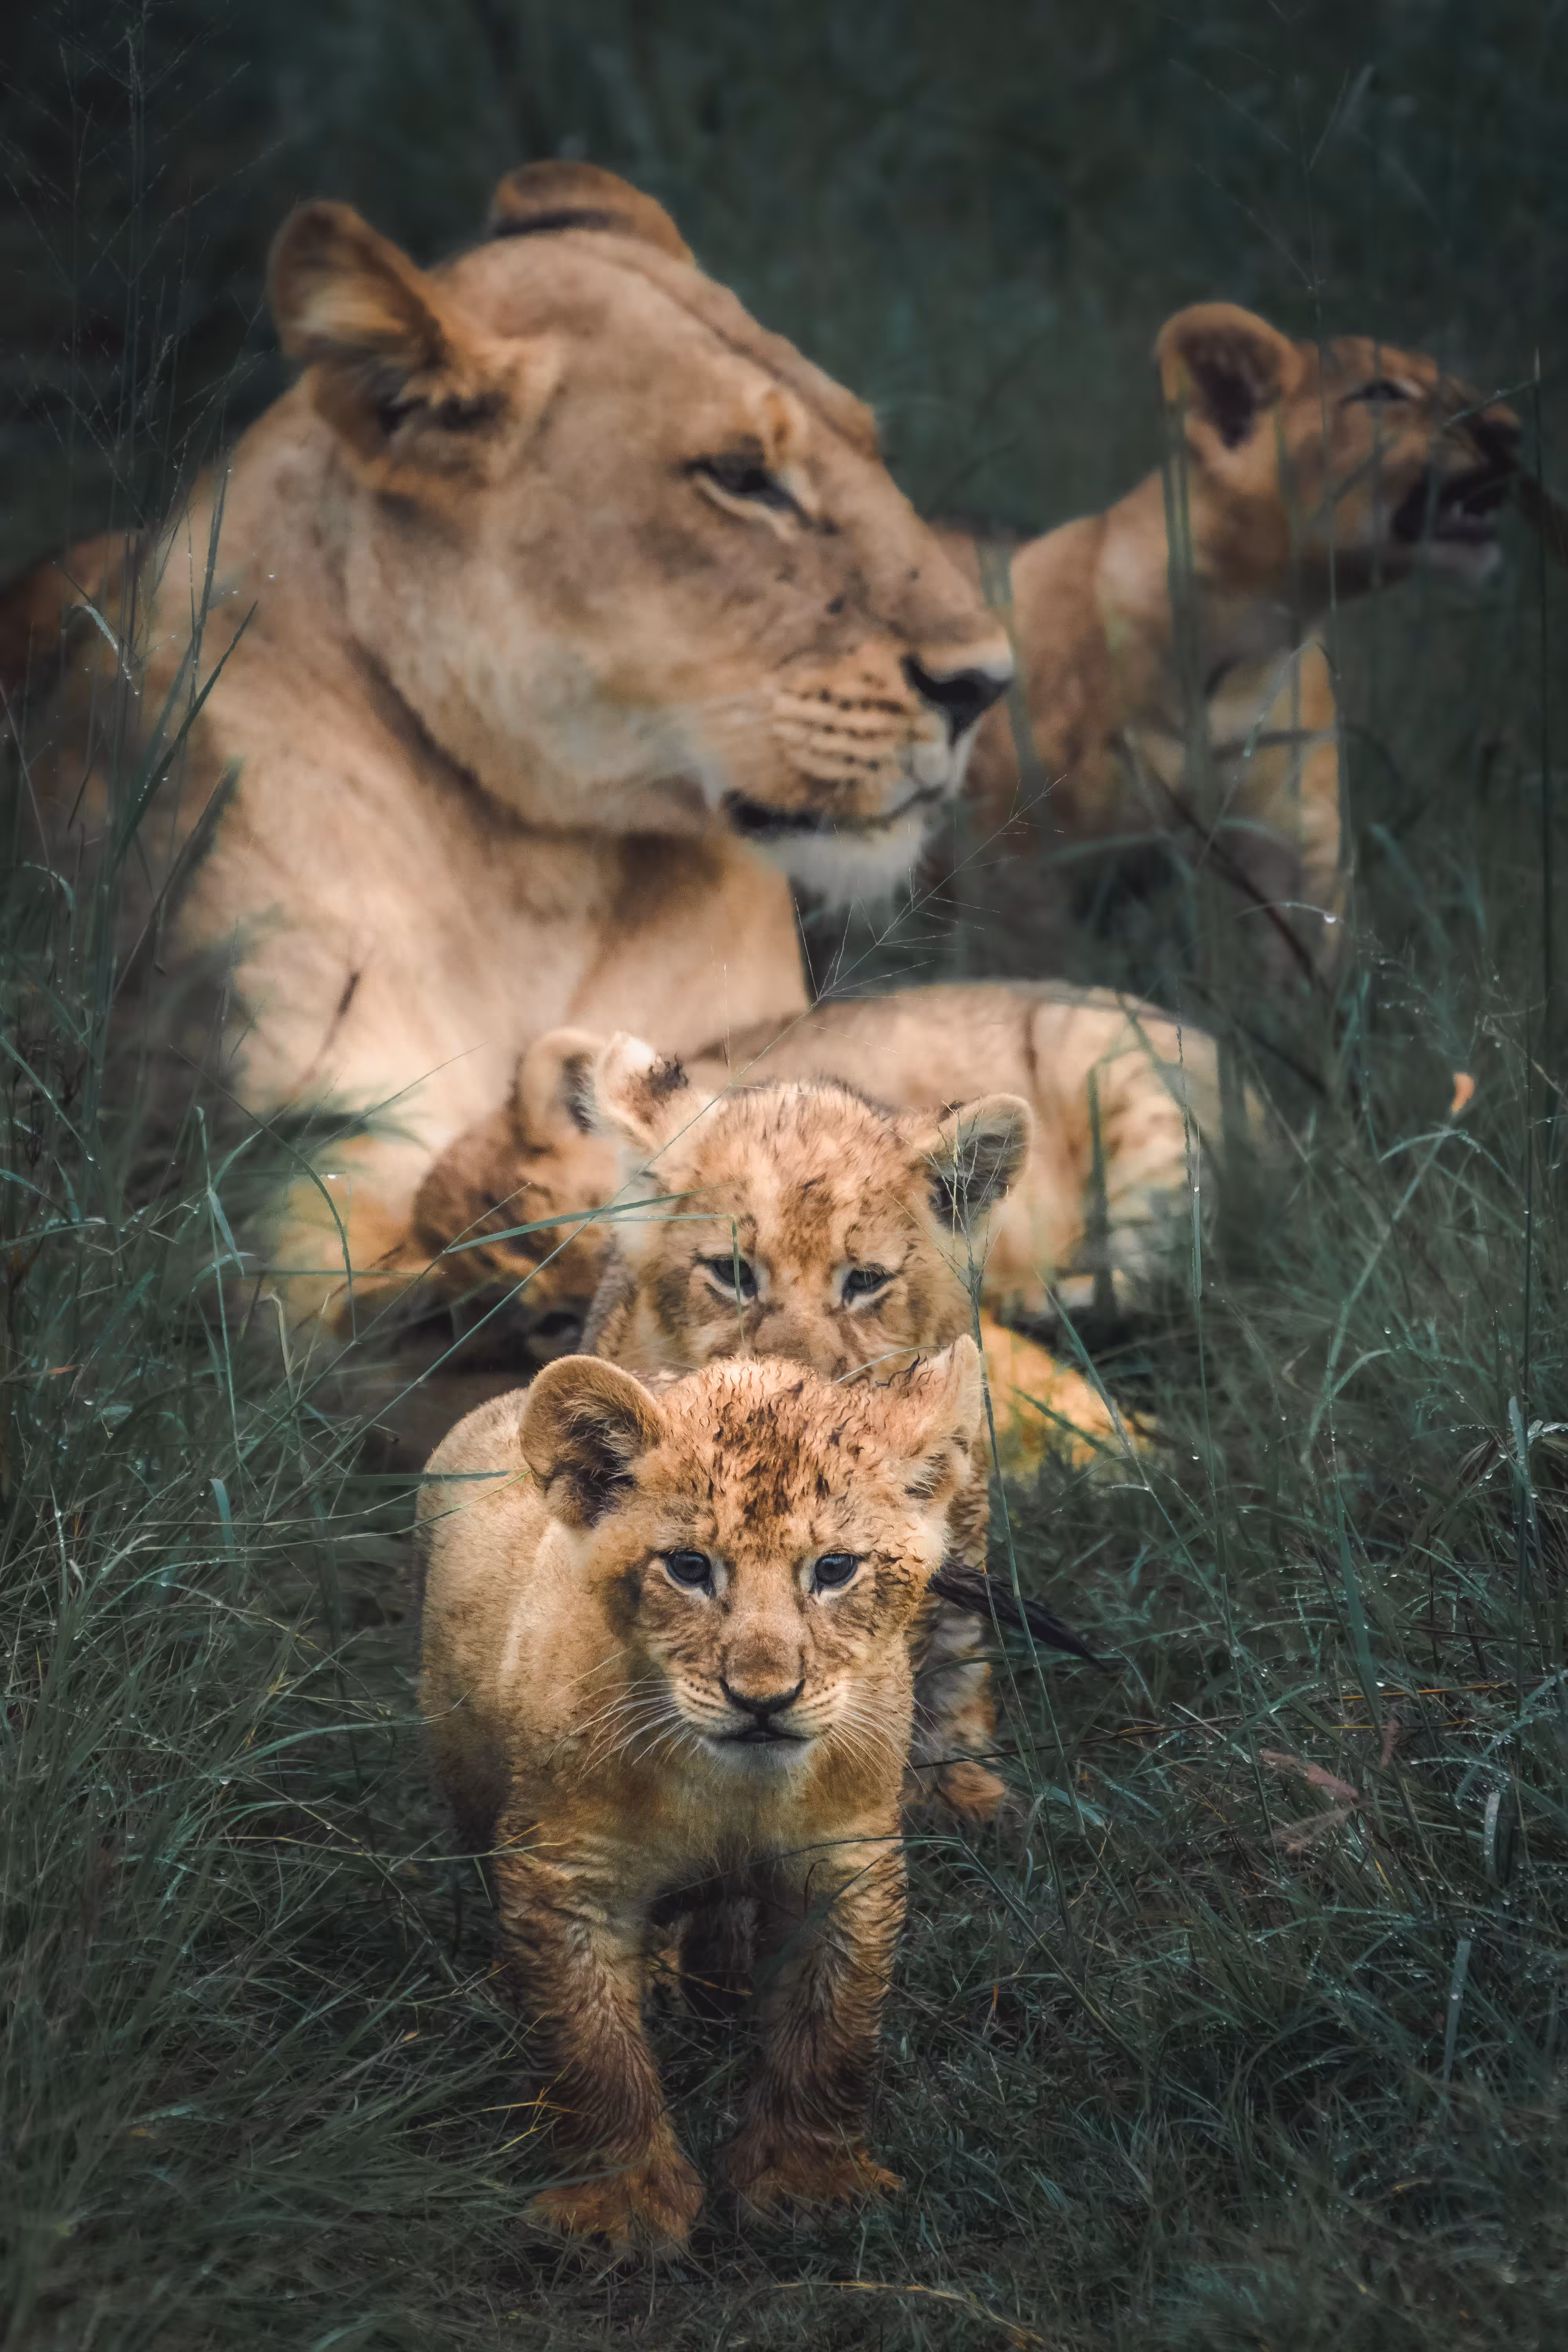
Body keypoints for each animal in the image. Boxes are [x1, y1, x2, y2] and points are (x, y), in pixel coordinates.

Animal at [418, 1338, 983, 2250]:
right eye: (689, 1568)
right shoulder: (563, 1873)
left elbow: (831, 2031)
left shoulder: (845, 1862)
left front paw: (807, 2183)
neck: (729, 1791)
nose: (763, 1699)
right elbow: (591, 2046)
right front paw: (620, 2205)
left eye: (834, 1569)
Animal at [951, 302, 1520, 979]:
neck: (1237, 634)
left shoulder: (1296, 836)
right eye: (1383, 393)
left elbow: (1303, 964)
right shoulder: (1015, 853)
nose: (1512, 431)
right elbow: (1026, 965)